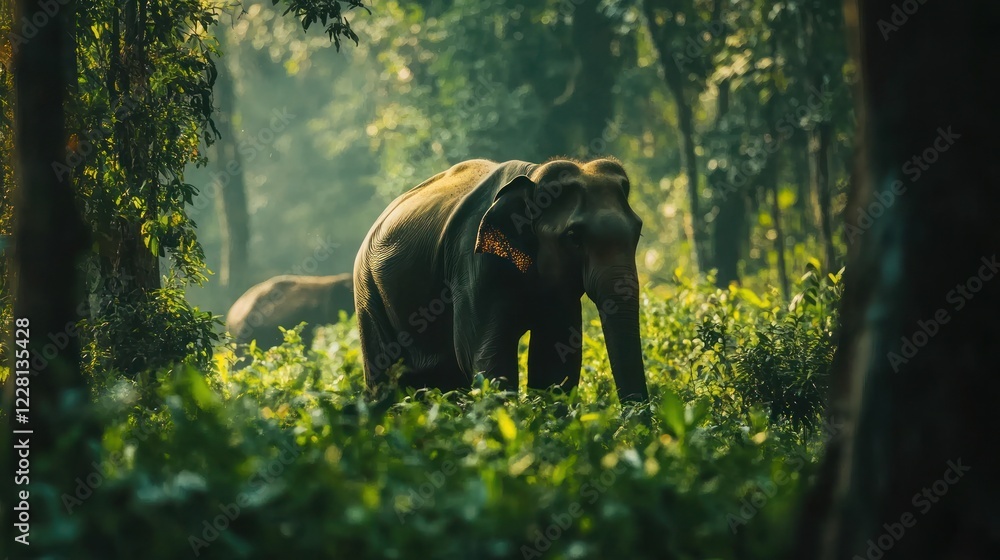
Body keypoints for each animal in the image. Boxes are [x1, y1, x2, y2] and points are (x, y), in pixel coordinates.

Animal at [353, 157, 649, 402]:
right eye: (574, 237)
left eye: (638, 231)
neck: (533, 175)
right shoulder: (473, 266)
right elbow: (485, 356)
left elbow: (554, 359)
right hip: (368, 296)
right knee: (386, 382)